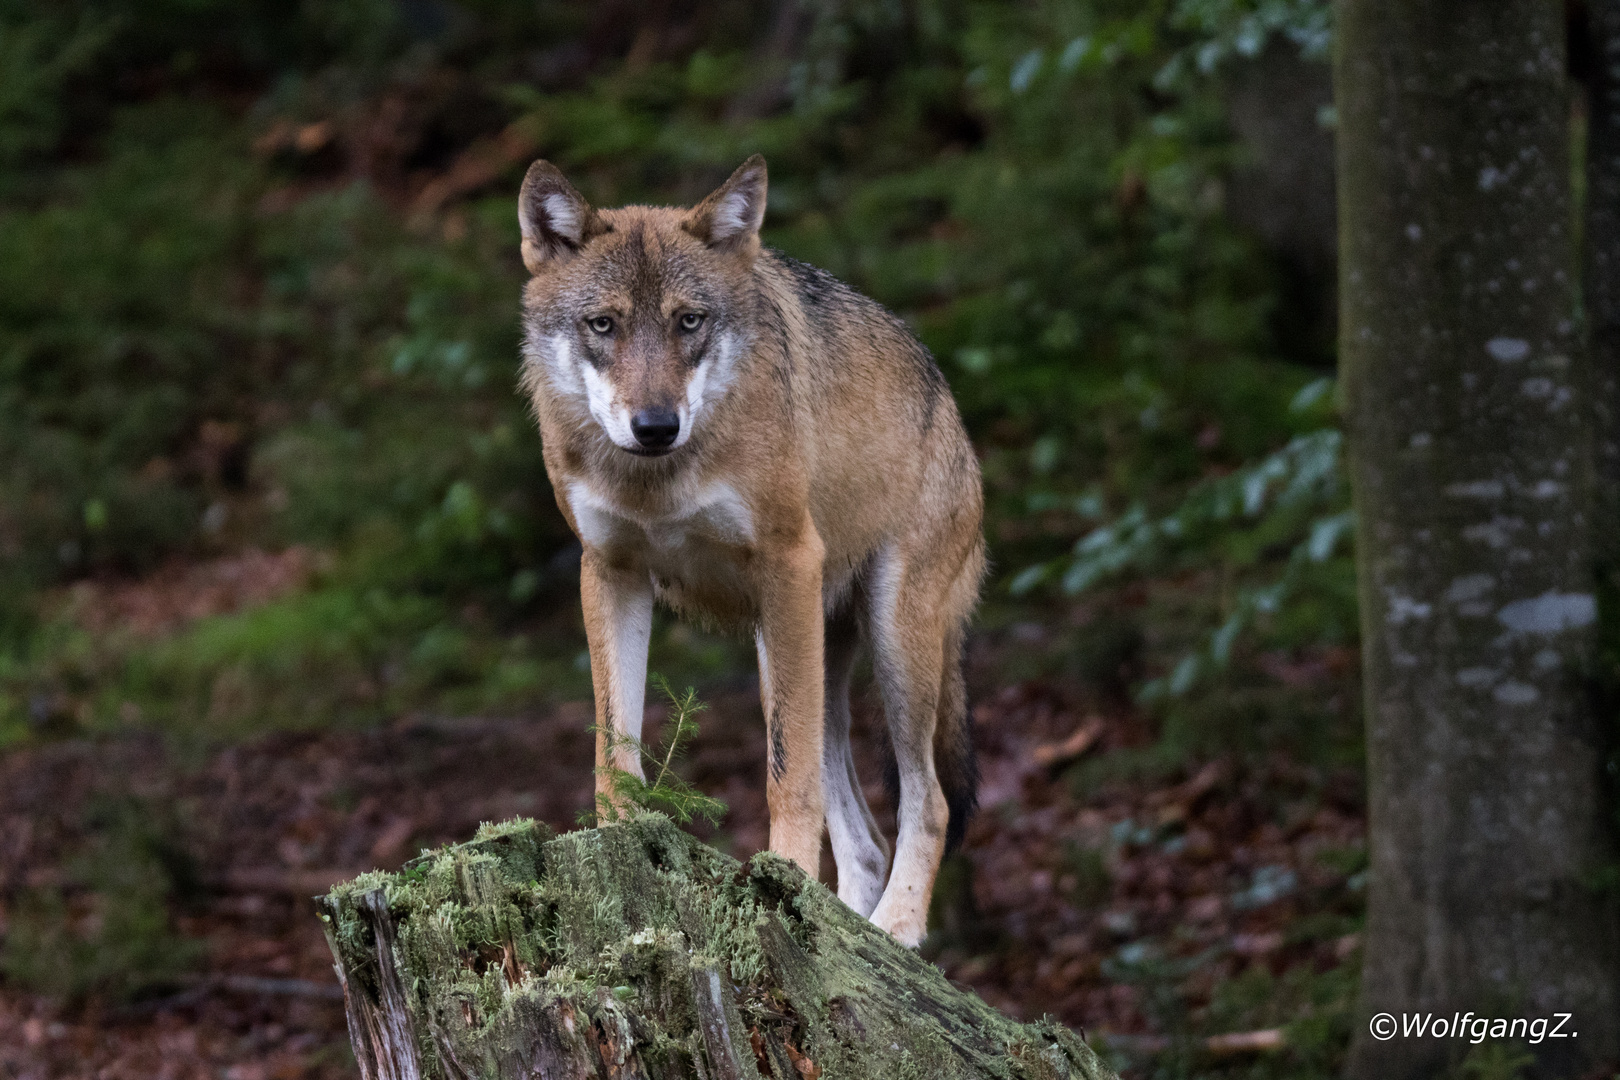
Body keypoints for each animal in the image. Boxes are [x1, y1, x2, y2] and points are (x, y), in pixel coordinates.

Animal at [515, 153, 984, 945]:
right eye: (603, 324)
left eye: (689, 322)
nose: (655, 425)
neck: (658, 484)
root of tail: (950, 404)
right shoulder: (609, 573)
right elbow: (615, 752)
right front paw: (619, 851)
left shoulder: (788, 560)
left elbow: (784, 781)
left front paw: (781, 874)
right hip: (792, 651)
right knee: (865, 840)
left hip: (888, 638)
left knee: (929, 804)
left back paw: (896, 930)